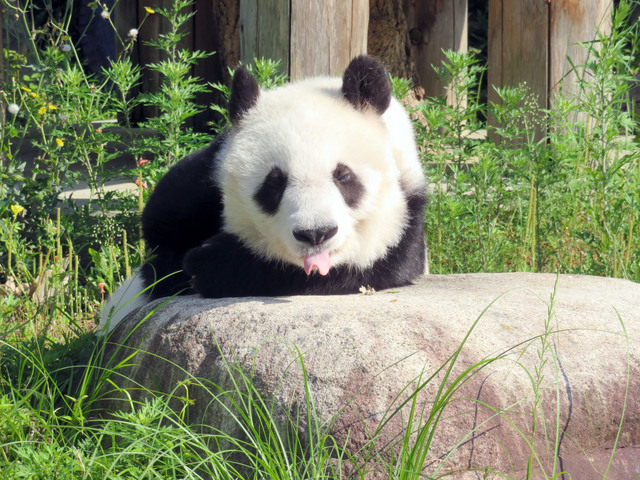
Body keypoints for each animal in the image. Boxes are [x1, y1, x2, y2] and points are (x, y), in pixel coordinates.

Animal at [102, 56, 428, 332]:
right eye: (275, 182)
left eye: (343, 176)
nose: (315, 234)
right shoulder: (204, 174)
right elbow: (160, 223)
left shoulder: (404, 223)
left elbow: (346, 271)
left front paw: (209, 264)